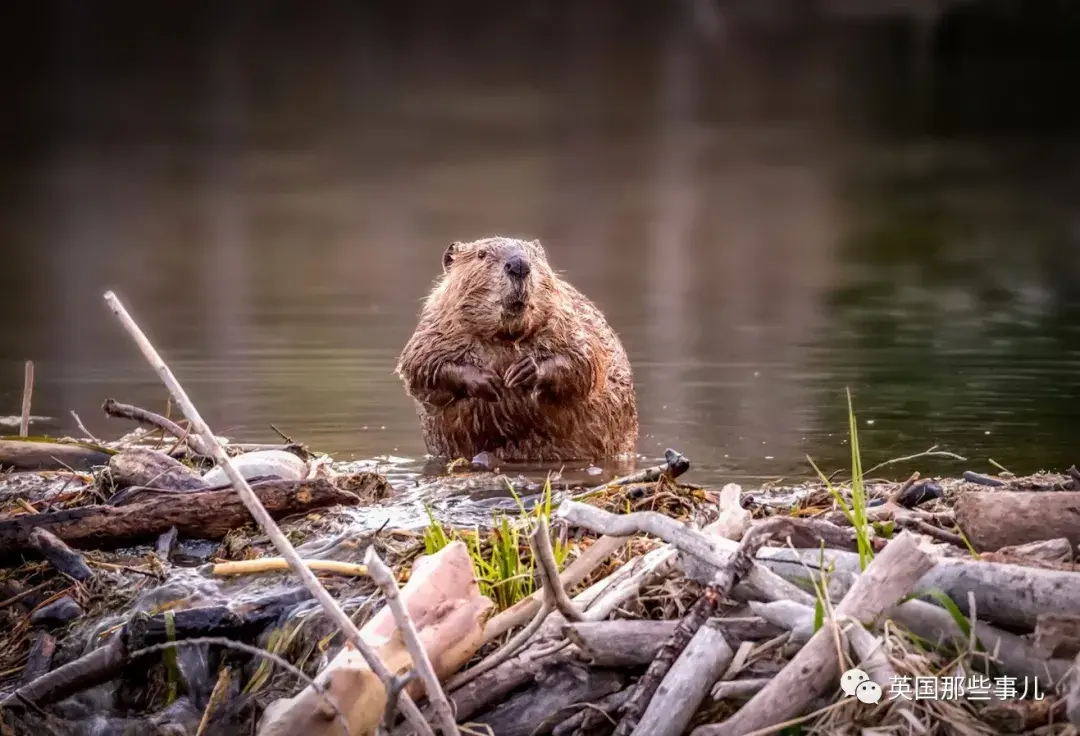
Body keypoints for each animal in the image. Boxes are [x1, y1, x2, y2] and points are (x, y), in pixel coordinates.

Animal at [397, 237, 635, 462]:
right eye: (481, 254)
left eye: (534, 255)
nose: (519, 264)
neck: (505, 337)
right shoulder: (435, 328)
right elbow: (421, 366)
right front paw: (488, 380)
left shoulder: (569, 320)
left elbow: (585, 360)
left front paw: (523, 372)